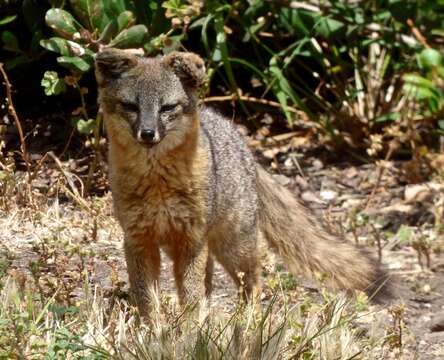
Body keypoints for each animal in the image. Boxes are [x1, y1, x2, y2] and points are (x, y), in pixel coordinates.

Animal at [95, 48, 390, 316]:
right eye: (131, 106)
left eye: (167, 108)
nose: (147, 133)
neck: (157, 184)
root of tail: (239, 139)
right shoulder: (138, 239)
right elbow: (147, 298)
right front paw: (154, 330)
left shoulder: (191, 239)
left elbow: (190, 296)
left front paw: (187, 330)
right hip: (184, 246)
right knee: (209, 284)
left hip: (233, 247)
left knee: (252, 282)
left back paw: (249, 322)